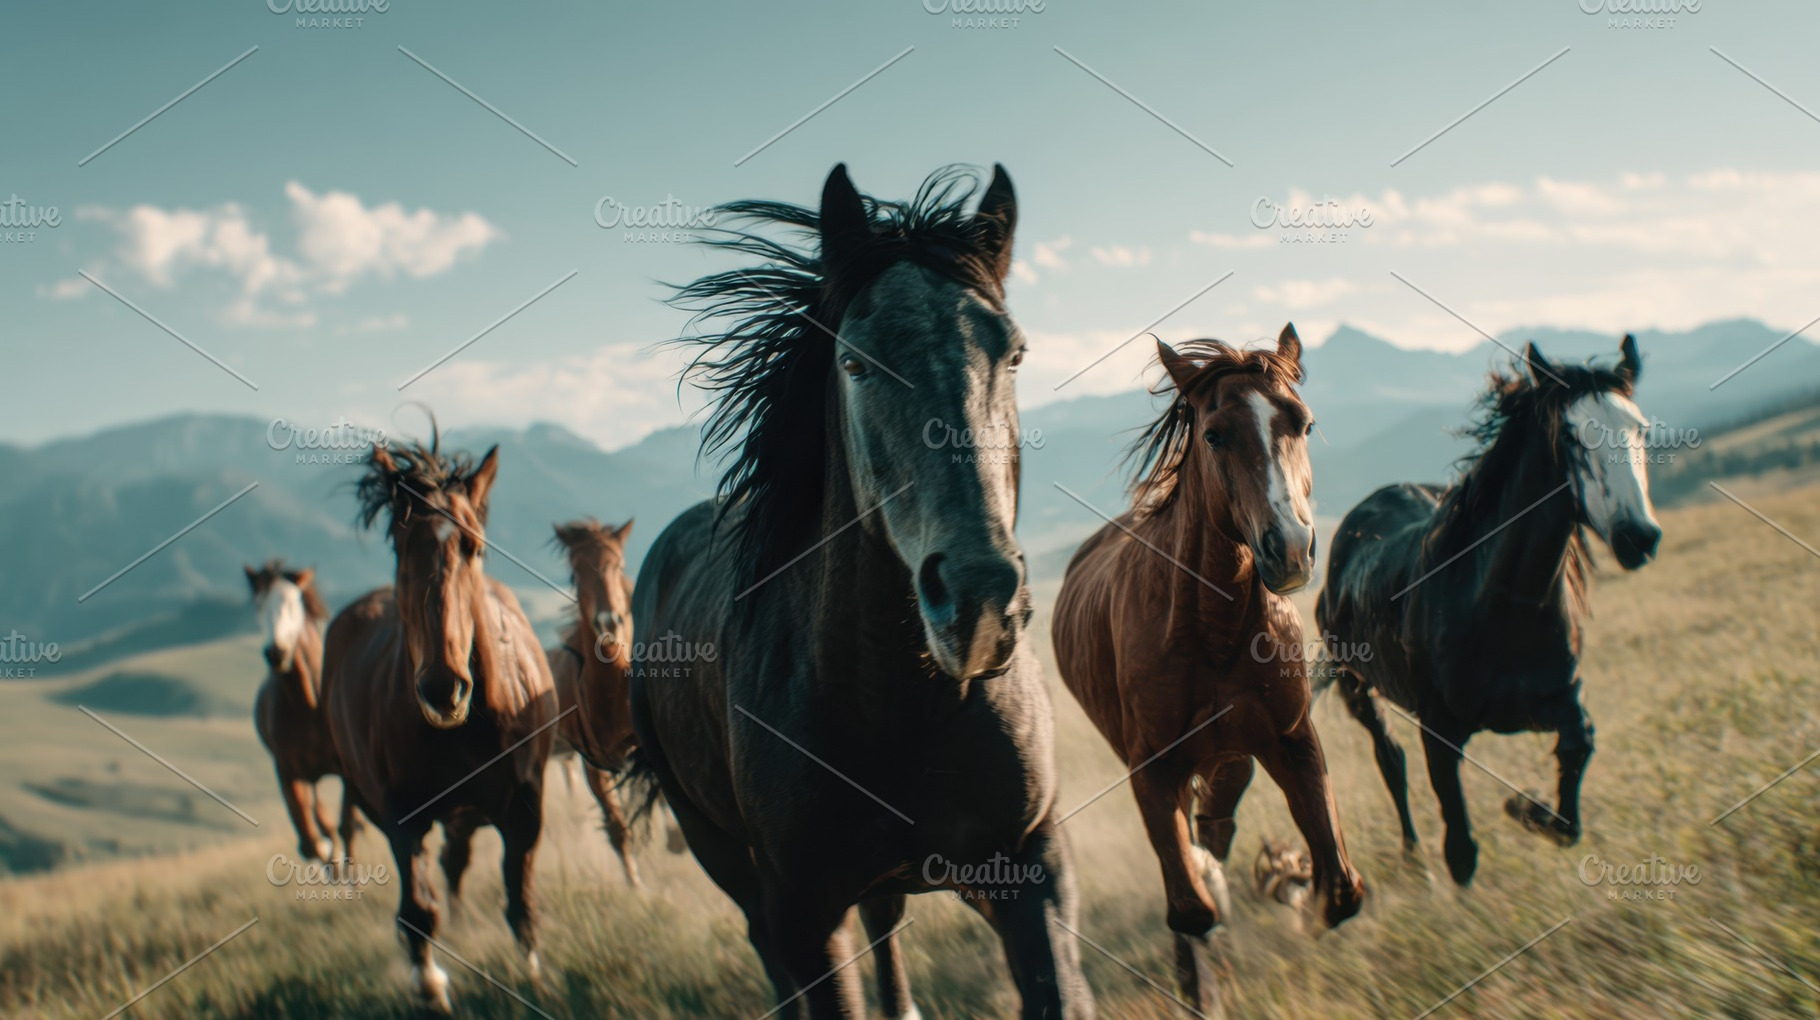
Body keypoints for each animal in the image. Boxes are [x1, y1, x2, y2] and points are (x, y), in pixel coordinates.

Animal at [247, 559, 355, 862]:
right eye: (258, 605)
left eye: (292, 602)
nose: (276, 653)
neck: (310, 705)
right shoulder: (289, 774)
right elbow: (313, 843)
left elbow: (346, 828)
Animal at [322, 437, 557, 1013]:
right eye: (401, 548)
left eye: (473, 547)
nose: (442, 689)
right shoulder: (401, 816)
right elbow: (418, 910)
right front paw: (430, 987)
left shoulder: (526, 806)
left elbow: (520, 899)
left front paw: (535, 979)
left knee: (457, 862)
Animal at [629, 164, 1094, 1019]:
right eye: (855, 364)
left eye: (1013, 353)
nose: (980, 601)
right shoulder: (805, 911)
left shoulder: (1033, 866)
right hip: (724, 857)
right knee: (769, 947)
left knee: (886, 919)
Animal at [1052, 329, 1366, 1013]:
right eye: (1215, 434)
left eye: (1303, 422)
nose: (1291, 550)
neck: (1210, 631)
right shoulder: (1152, 770)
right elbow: (1190, 906)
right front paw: (1199, 984)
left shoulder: (1291, 741)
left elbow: (1341, 888)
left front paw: (1294, 886)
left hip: (1233, 758)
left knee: (1215, 826)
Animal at [1315, 335, 1663, 886]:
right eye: (1570, 435)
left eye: (1641, 429)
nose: (1639, 538)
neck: (1498, 606)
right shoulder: (1439, 732)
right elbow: (1461, 852)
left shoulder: (1560, 701)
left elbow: (1573, 790)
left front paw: (1525, 807)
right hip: (1357, 685)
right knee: (1390, 760)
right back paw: (1413, 858)